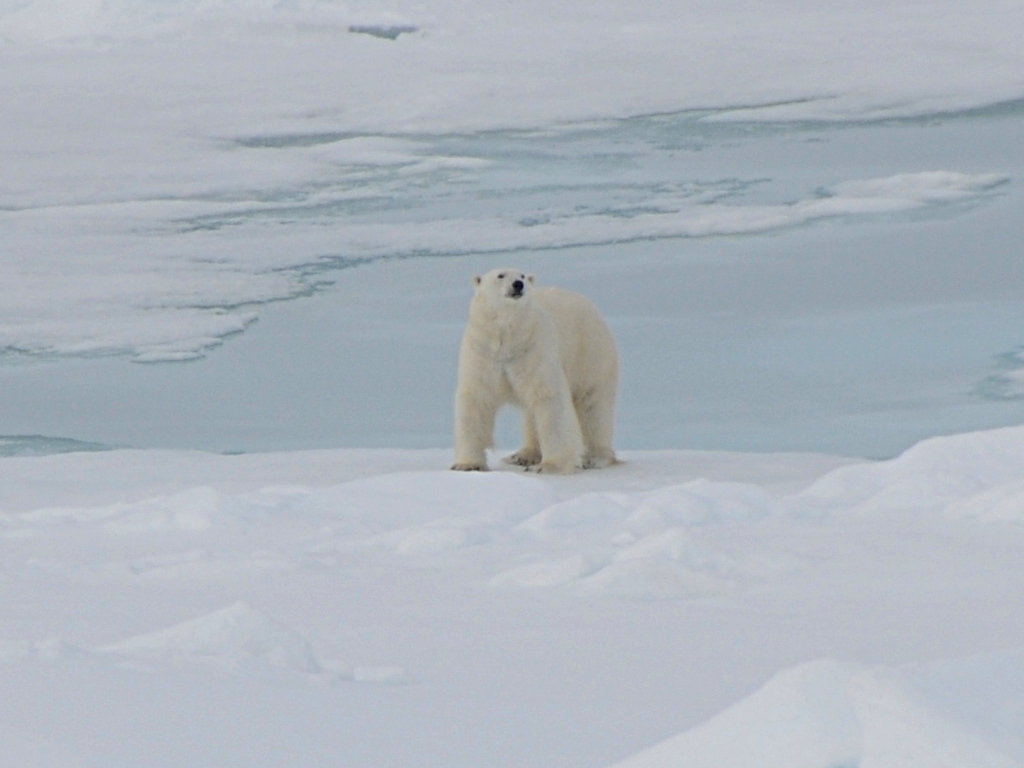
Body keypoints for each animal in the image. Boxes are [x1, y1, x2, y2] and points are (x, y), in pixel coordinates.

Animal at [454, 270, 614, 475]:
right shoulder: (483, 353)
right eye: (500, 275)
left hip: (590, 355)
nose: (518, 284)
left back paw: (595, 458)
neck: (509, 338)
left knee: (593, 407)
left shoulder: (535, 348)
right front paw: (467, 464)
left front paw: (549, 465)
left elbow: (549, 399)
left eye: (522, 275)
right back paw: (522, 455)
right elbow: (475, 400)